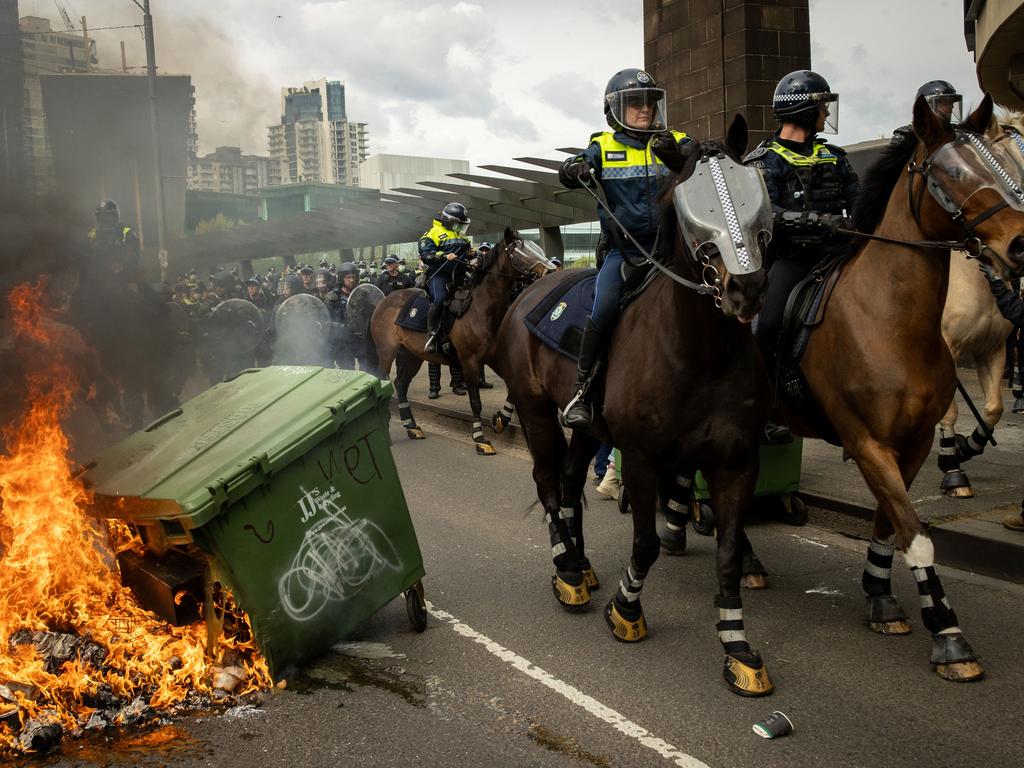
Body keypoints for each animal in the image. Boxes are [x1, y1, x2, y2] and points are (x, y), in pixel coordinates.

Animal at [370, 228, 552, 456]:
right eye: (520, 250)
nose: (551, 271)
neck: (481, 309)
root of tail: (384, 300)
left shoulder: (495, 359)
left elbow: (512, 389)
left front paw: (501, 419)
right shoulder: (470, 362)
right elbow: (475, 401)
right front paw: (480, 438)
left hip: (411, 355)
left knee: (401, 384)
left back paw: (412, 427)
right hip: (387, 352)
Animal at [493, 117, 774, 700]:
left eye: (751, 188)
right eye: (692, 204)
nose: (746, 287)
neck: (702, 352)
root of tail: (530, 292)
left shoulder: (737, 460)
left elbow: (728, 555)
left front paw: (737, 650)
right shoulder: (643, 457)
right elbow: (645, 543)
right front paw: (625, 611)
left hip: (587, 428)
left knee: (570, 480)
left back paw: (580, 561)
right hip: (534, 410)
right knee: (548, 482)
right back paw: (568, 572)